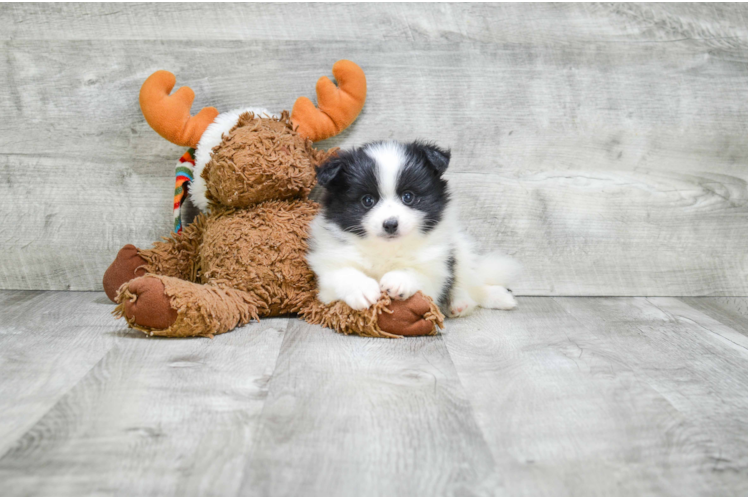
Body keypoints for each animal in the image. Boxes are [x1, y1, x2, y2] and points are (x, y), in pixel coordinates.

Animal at [306, 140, 516, 316]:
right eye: (367, 200)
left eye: (408, 197)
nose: (390, 224)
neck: (386, 249)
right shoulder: (327, 275)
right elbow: (341, 273)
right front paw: (362, 289)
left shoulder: (436, 271)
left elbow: (420, 274)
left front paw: (399, 279)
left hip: (460, 250)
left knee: (468, 282)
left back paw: (471, 300)